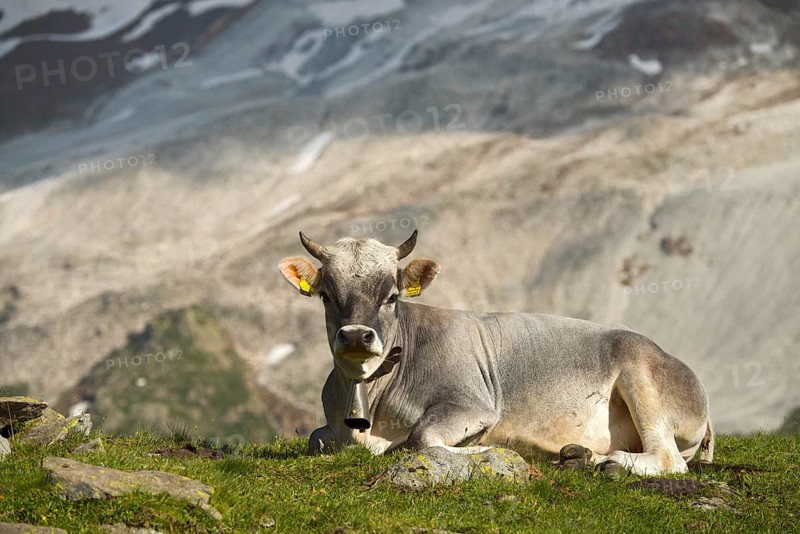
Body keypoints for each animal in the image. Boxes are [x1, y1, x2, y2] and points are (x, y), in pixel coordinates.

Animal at [278, 230, 714, 475]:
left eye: (392, 296)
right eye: (326, 295)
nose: (356, 336)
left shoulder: (472, 404)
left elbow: (423, 438)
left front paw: (489, 449)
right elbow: (315, 438)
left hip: (641, 376)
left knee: (668, 459)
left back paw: (609, 463)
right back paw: (580, 457)